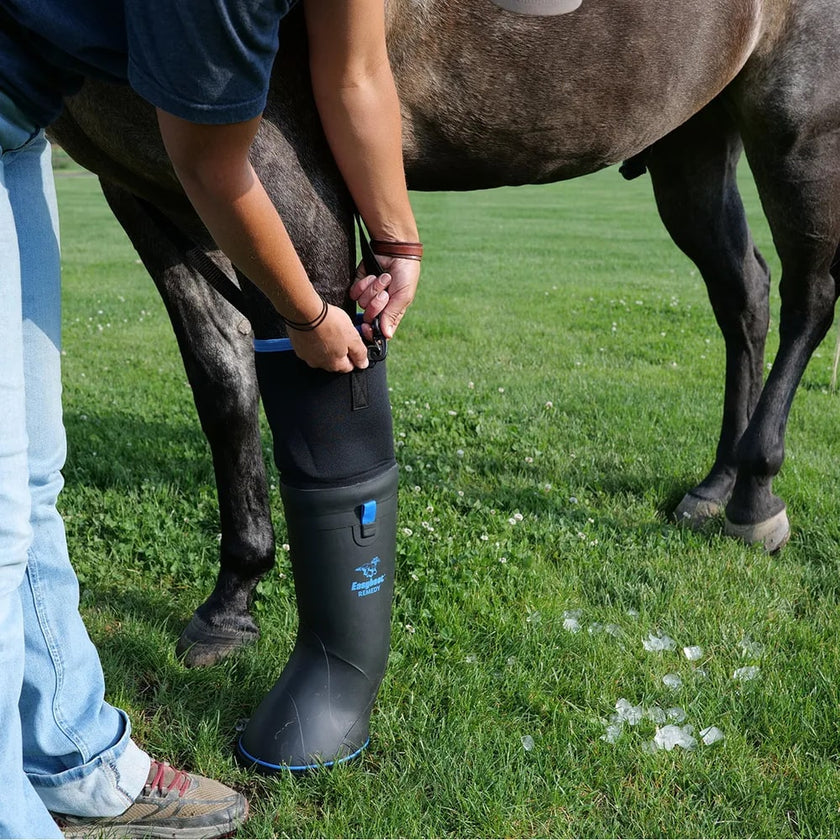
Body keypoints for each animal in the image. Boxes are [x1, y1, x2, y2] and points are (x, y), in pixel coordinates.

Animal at [49, 0, 840, 667]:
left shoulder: (281, 168)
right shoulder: (150, 186)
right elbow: (225, 388)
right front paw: (231, 602)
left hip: (799, 119)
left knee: (808, 297)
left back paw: (756, 493)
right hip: (694, 137)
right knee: (744, 296)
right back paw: (717, 482)